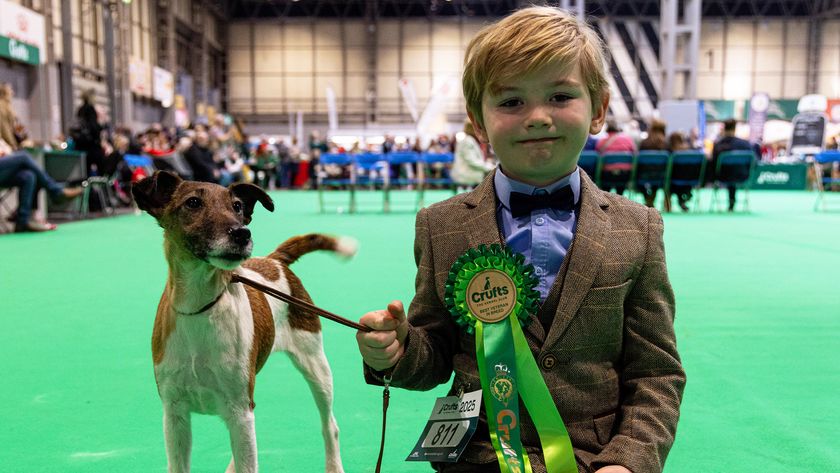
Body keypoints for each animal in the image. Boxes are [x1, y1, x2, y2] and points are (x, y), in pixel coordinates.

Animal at [133, 171, 350, 472]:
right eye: (193, 202)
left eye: (237, 206)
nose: (242, 233)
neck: (200, 307)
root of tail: (274, 260)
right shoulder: (175, 415)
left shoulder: (240, 411)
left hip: (316, 365)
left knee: (330, 425)